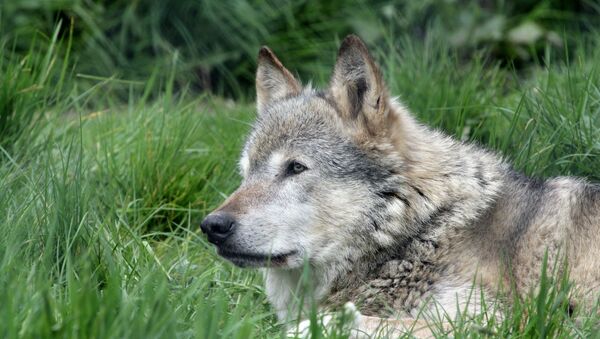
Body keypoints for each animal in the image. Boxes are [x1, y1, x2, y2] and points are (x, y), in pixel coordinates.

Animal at [200, 34, 600, 338]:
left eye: (295, 167)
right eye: (246, 173)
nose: (211, 226)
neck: (421, 230)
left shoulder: (496, 321)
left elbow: (338, 322)